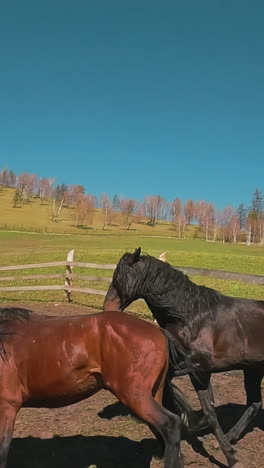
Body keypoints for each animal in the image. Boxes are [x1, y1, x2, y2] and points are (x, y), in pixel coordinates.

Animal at [103, 247, 264, 466]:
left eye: (119, 277)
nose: (107, 308)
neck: (189, 317)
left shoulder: (199, 371)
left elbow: (210, 414)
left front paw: (230, 457)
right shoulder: (180, 367)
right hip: (253, 370)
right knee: (255, 404)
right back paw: (231, 436)